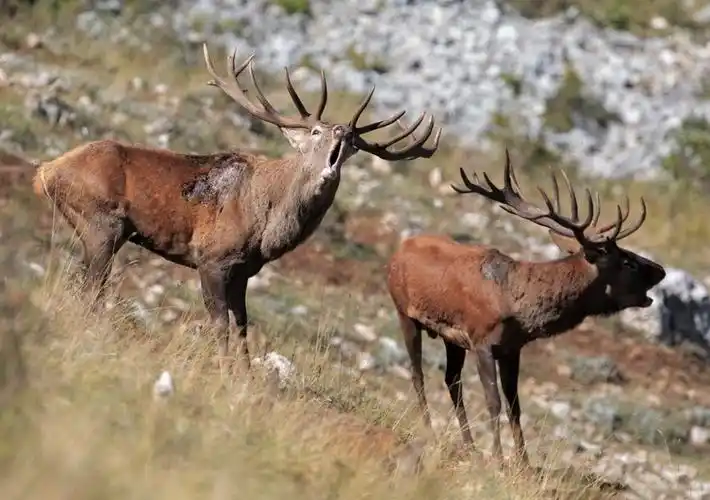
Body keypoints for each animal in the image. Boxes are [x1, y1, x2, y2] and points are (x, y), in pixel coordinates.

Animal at [33, 43, 441, 375]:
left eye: (355, 142)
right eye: (315, 132)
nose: (343, 131)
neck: (267, 225)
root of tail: (47, 170)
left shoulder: (244, 270)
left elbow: (243, 325)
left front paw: (245, 375)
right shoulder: (211, 257)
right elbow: (220, 324)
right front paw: (222, 370)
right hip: (102, 223)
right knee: (91, 284)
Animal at [386, 150, 666, 467]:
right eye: (627, 262)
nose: (661, 270)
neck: (520, 306)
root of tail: (400, 248)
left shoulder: (511, 349)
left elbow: (515, 407)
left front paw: (524, 464)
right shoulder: (482, 341)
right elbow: (494, 402)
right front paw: (498, 458)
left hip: (451, 338)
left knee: (451, 380)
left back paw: (469, 445)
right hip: (404, 312)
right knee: (417, 372)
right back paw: (430, 430)